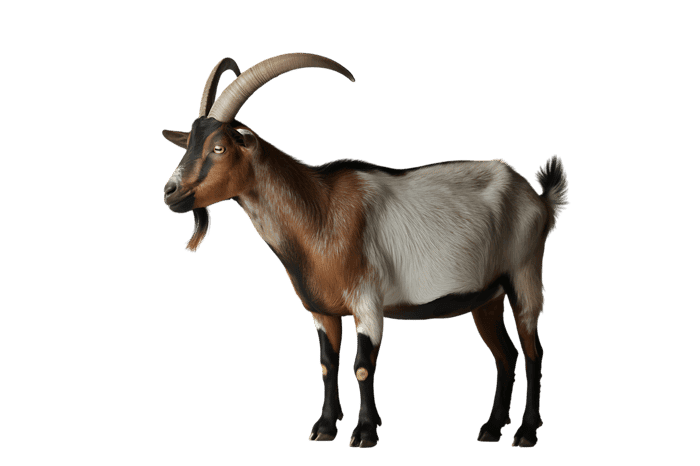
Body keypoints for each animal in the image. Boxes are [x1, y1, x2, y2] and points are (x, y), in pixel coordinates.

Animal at [161, 53, 570, 449]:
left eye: (219, 147)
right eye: (188, 145)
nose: (170, 193)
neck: (320, 213)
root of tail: (538, 199)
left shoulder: (367, 303)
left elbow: (361, 366)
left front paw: (365, 433)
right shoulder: (322, 310)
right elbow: (327, 364)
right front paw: (324, 428)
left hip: (524, 275)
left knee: (533, 352)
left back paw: (525, 433)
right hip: (487, 297)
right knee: (505, 355)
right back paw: (491, 428)